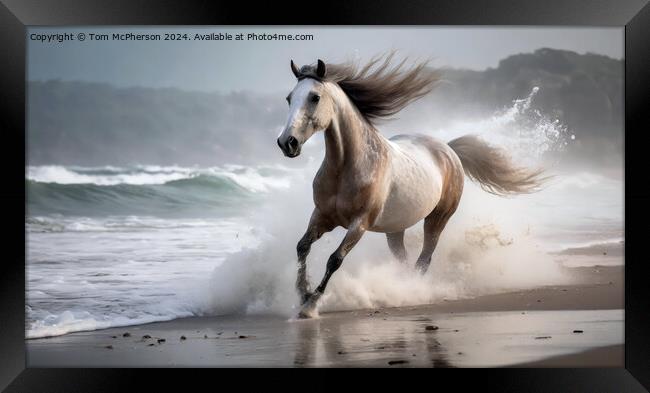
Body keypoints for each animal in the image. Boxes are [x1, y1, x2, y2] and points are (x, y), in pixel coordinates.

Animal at [276, 53, 544, 316]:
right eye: (289, 98)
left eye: (314, 97)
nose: (287, 143)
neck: (348, 168)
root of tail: (448, 149)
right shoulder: (322, 216)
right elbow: (302, 247)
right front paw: (302, 294)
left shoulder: (359, 224)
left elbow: (335, 259)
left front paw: (311, 304)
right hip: (395, 228)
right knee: (404, 259)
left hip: (437, 218)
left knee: (424, 258)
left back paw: (413, 291)